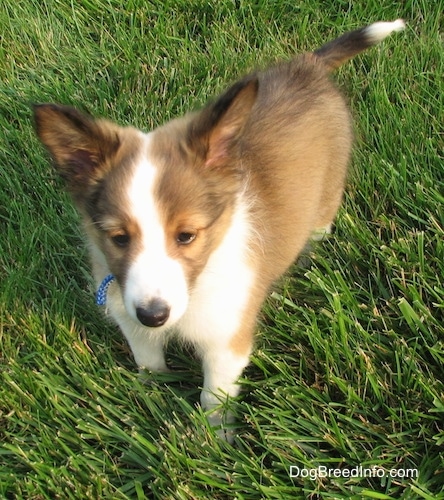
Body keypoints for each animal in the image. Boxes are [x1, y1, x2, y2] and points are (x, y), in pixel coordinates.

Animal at [33, 20, 402, 442]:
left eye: (186, 236)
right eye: (119, 238)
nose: (154, 315)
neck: (199, 286)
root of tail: (307, 66)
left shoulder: (227, 337)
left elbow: (214, 395)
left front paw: (214, 441)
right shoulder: (129, 316)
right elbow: (148, 362)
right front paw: (151, 396)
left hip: (328, 192)